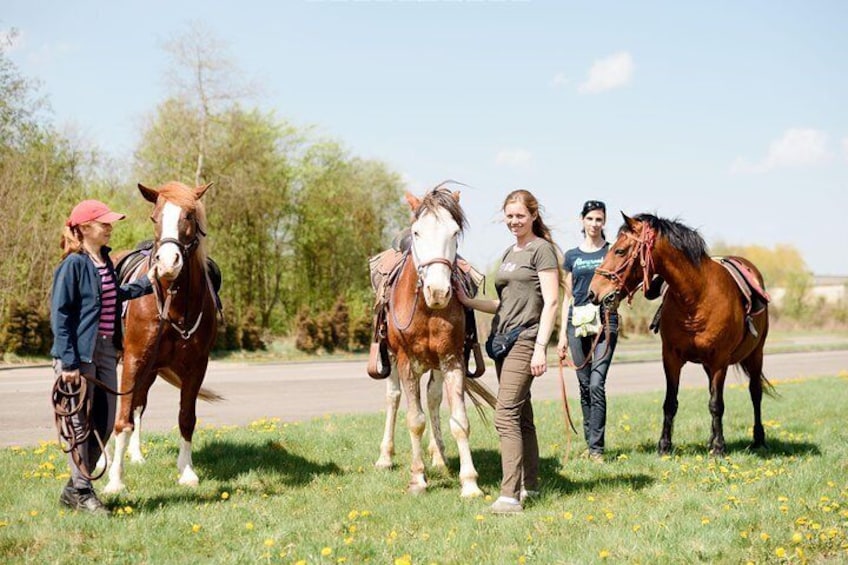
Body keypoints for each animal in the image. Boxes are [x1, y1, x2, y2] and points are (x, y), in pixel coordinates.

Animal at [102, 182, 219, 494]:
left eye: (189, 216)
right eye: (155, 217)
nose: (167, 263)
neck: (172, 304)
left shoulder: (196, 366)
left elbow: (186, 418)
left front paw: (187, 471)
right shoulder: (133, 359)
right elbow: (121, 420)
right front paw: (115, 480)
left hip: (151, 370)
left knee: (139, 405)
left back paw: (136, 455)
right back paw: (102, 461)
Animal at [374, 187, 494, 496]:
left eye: (454, 232)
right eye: (418, 232)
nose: (438, 291)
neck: (427, 309)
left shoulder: (451, 359)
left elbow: (459, 421)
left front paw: (470, 483)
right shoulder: (406, 362)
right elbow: (414, 421)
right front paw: (418, 478)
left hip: (437, 365)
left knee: (433, 398)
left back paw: (439, 456)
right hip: (391, 358)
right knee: (393, 398)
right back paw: (385, 457)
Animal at [588, 214, 772, 456]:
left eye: (620, 251)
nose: (593, 292)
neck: (697, 296)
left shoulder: (719, 360)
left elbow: (717, 404)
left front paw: (719, 448)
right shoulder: (671, 358)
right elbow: (671, 402)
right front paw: (665, 446)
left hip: (755, 354)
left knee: (755, 392)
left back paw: (758, 439)